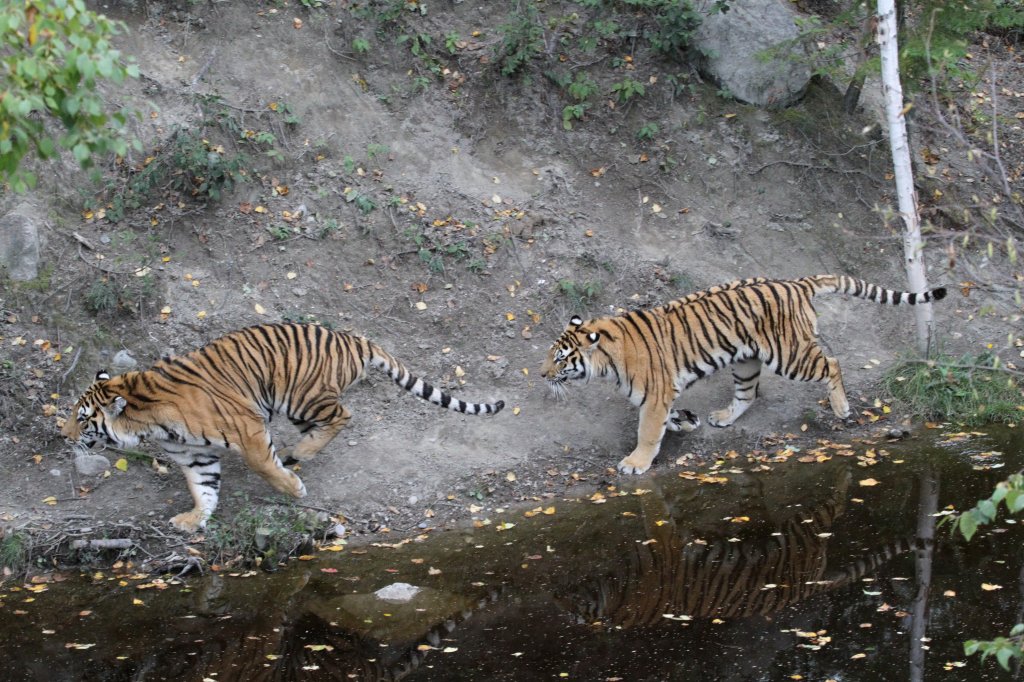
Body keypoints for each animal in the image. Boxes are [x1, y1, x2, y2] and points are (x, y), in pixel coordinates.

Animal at [59, 319, 503, 532]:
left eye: (82, 420)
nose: (63, 436)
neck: (147, 420)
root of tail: (353, 338)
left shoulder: (247, 426)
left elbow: (262, 465)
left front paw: (293, 489)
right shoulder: (196, 455)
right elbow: (203, 490)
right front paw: (194, 520)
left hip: (302, 397)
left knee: (344, 416)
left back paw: (298, 454)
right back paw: (296, 451)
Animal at [540, 274, 946, 473]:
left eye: (561, 358)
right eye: (550, 355)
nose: (542, 375)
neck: (608, 358)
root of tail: (797, 283)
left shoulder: (654, 396)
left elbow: (647, 432)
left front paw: (634, 463)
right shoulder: (663, 394)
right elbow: (667, 419)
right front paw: (686, 421)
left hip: (789, 355)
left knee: (831, 363)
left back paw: (842, 408)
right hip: (746, 360)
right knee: (748, 394)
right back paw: (722, 417)